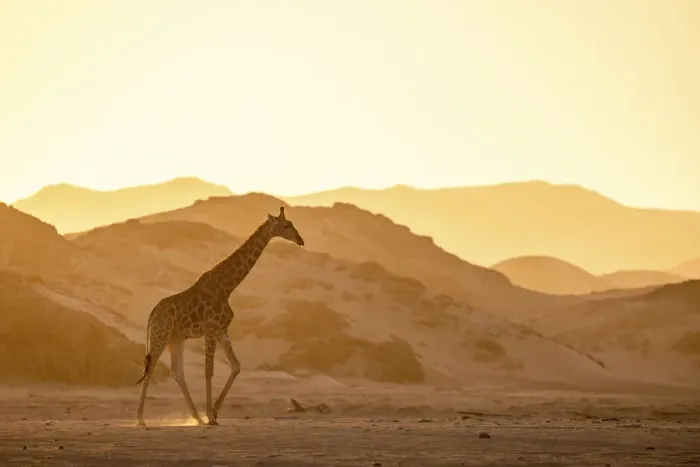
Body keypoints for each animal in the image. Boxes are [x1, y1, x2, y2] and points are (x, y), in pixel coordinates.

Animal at [134, 206, 304, 427]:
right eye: (285, 226)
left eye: (292, 224)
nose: (300, 240)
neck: (228, 286)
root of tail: (152, 314)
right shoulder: (210, 329)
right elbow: (209, 370)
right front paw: (210, 416)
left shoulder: (221, 329)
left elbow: (236, 366)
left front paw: (214, 412)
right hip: (160, 336)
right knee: (150, 369)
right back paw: (141, 419)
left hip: (175, 339)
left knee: (177, 372)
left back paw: (196, 417)